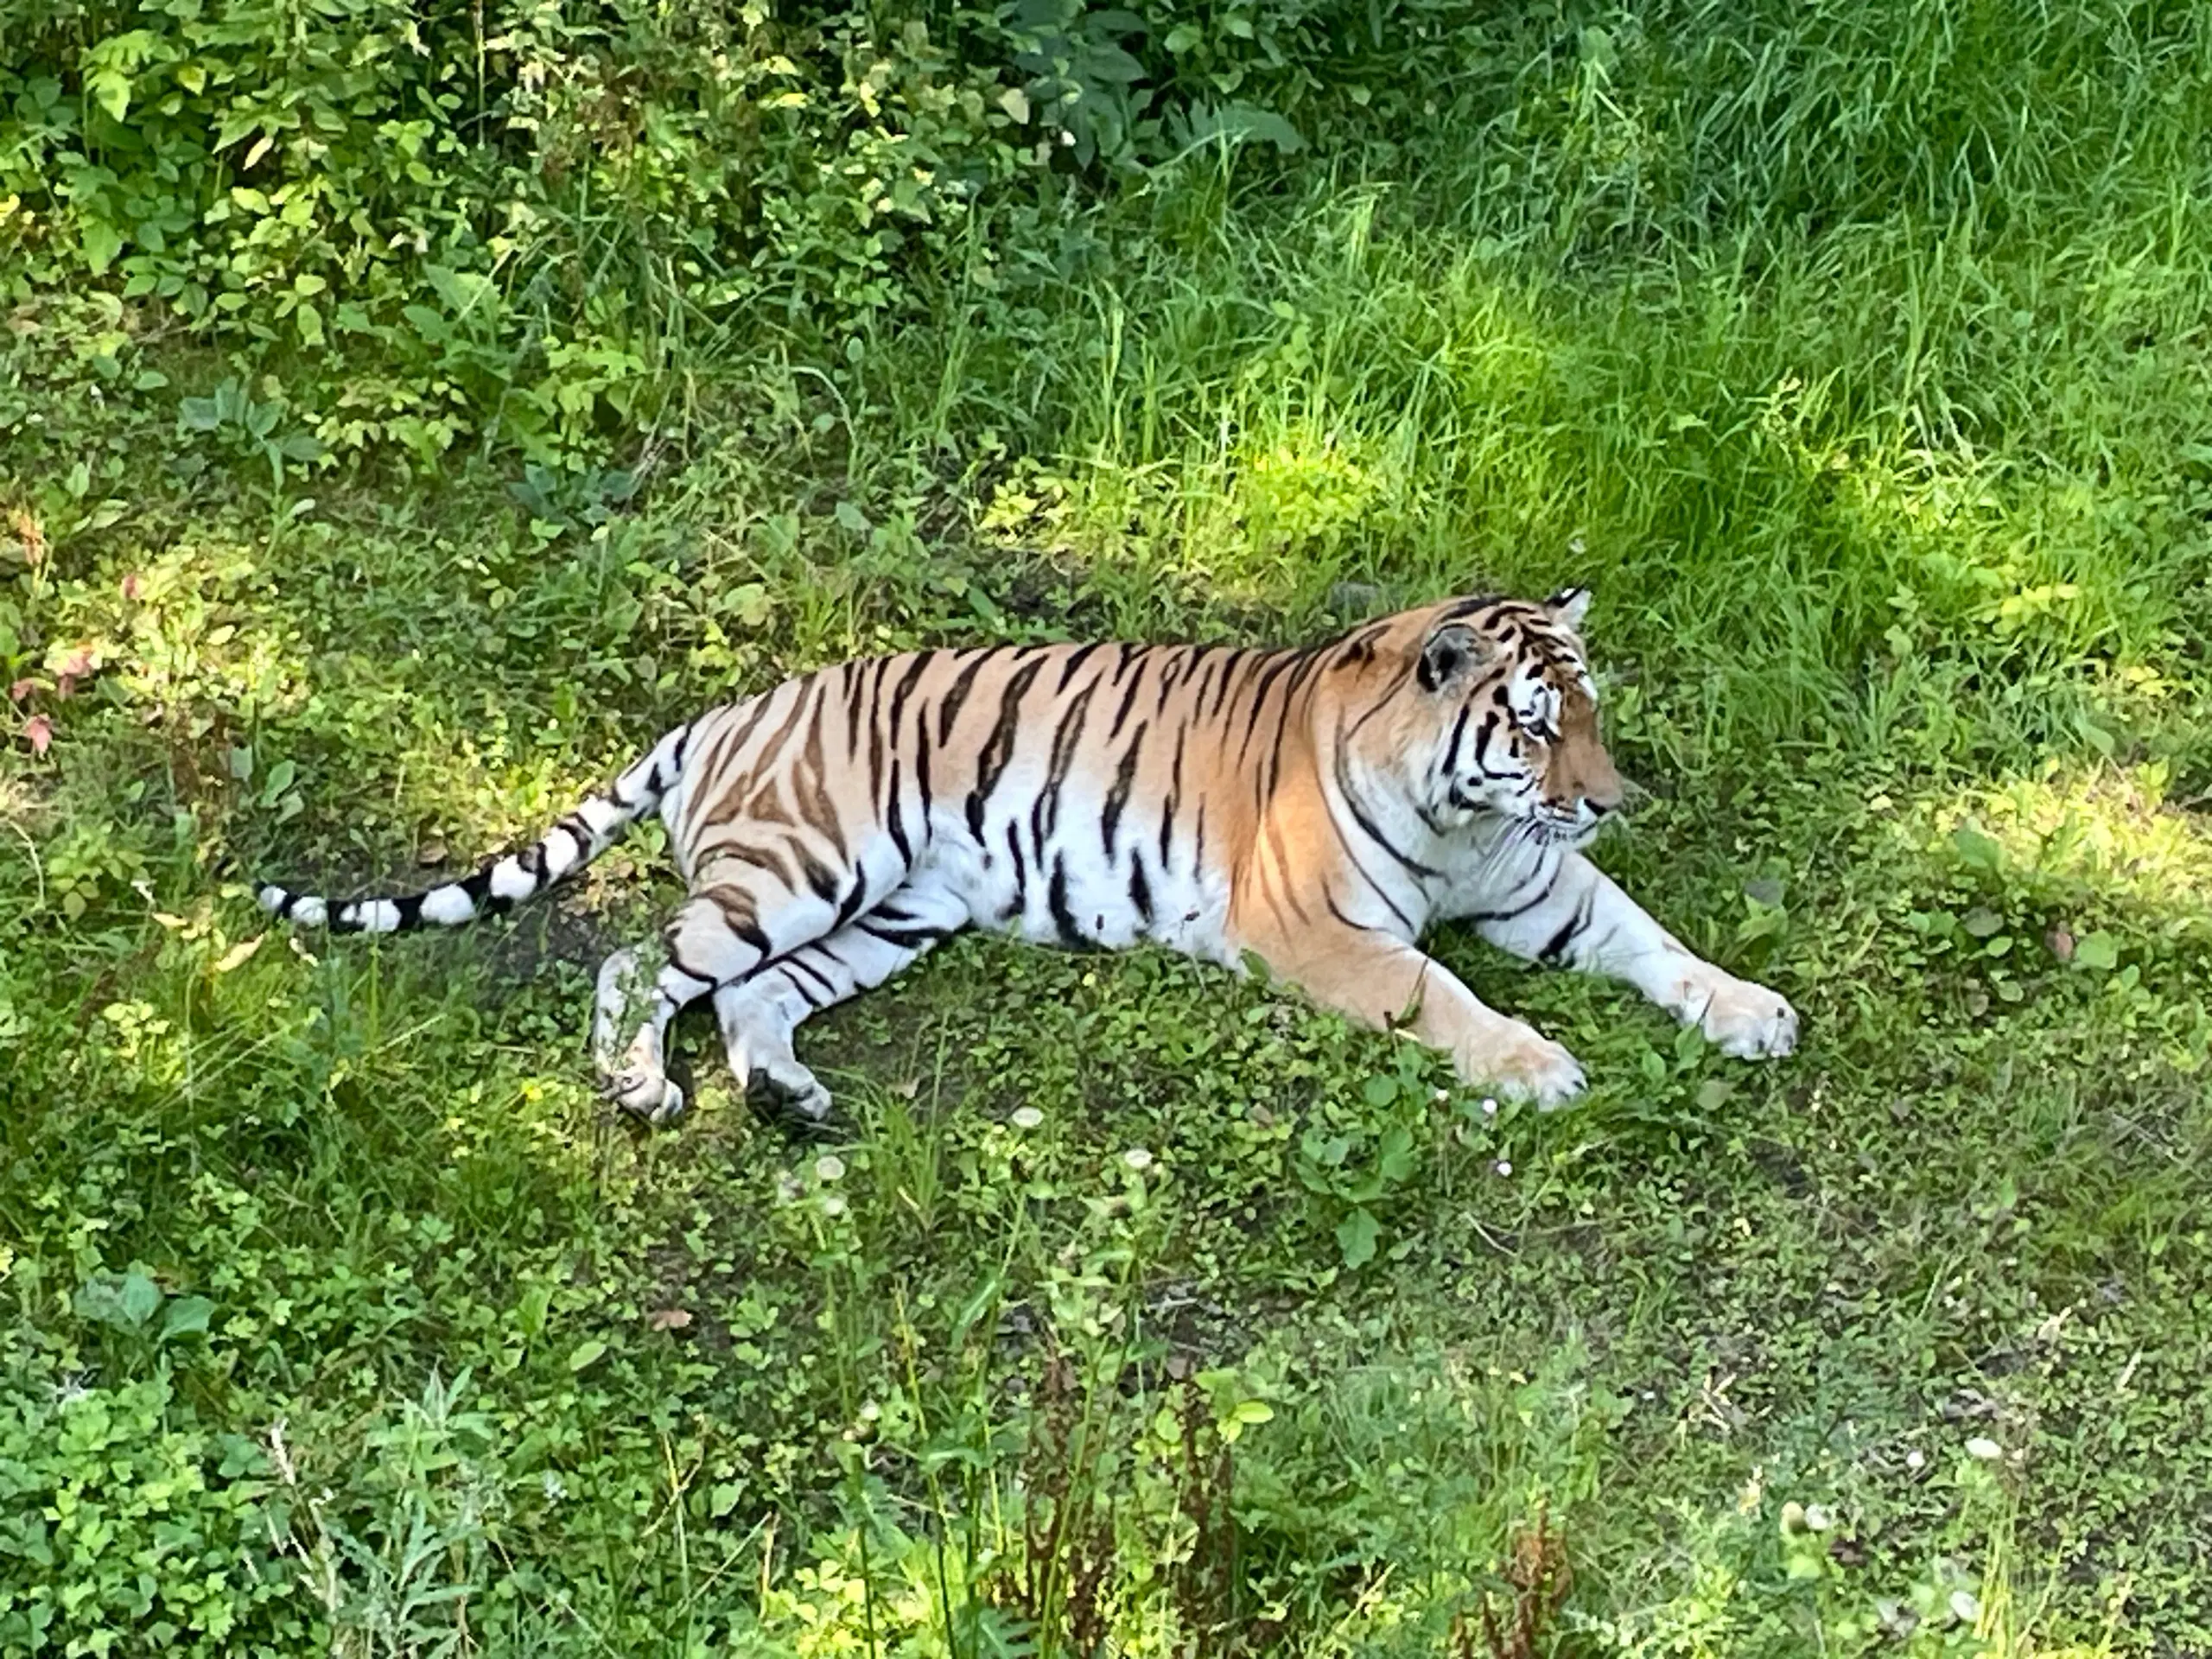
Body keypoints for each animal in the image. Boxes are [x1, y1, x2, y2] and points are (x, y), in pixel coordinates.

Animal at [263, 593, 1796, 1123]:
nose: (1610, 800)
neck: (1471, 814)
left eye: (1590, 712)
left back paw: (793, 1104)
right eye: (1535, 725)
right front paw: (1537, 1066)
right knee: (639, 962)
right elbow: (1449, 998)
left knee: (752, 1000)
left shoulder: (1545, 886)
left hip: (890, 915)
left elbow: (1657, 942)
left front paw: (1753, 1012)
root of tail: (731, 709)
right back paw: (643, 1090)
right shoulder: (1321, 933)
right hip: (801, 870)